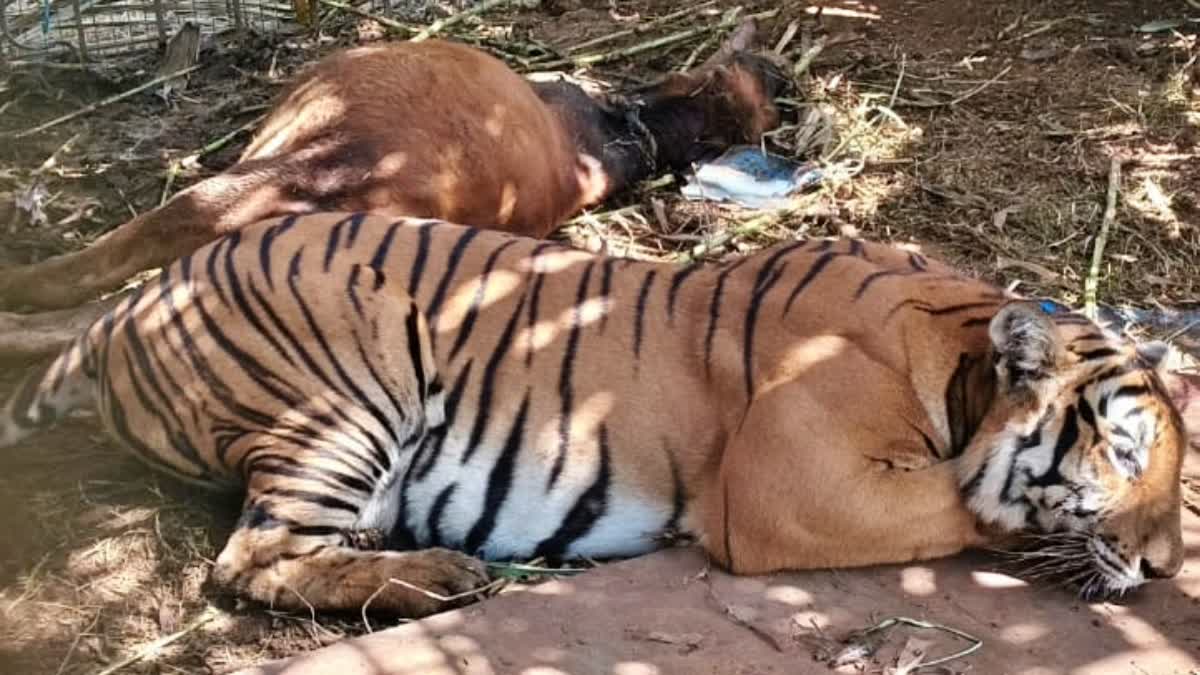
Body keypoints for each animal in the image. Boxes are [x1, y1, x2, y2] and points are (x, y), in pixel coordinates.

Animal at [0, 212, 1188, 617]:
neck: (958, 352)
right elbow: (968, 505)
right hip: (351, 378)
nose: (1166, 570)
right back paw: (438, 579)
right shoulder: (786, 487)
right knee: (248, 560)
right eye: (1127, 456)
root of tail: (118, 312)